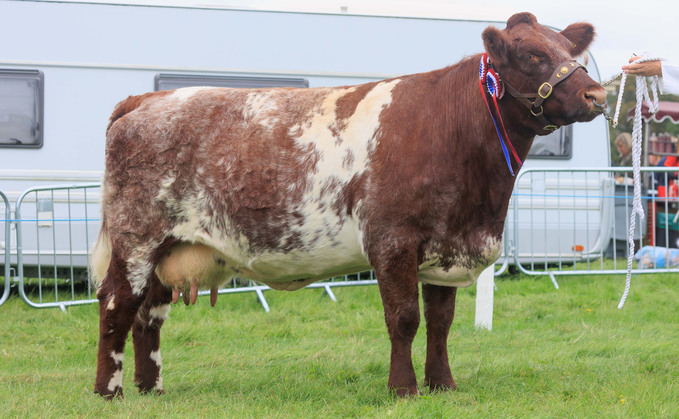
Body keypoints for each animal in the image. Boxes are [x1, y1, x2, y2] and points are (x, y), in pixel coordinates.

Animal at [93, 12, 608, 400]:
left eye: (571, 51)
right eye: (532, 55)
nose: (596, 94)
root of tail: (147, 99)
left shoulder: (445, 246)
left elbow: (441, 323)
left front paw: (443, 385)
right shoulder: (393, 240)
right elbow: (404, 319)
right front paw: (403, 390)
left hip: (169, 247)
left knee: (149, 315)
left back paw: (151, 389)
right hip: (137, 238)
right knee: (117, 304)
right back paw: (109, 391)